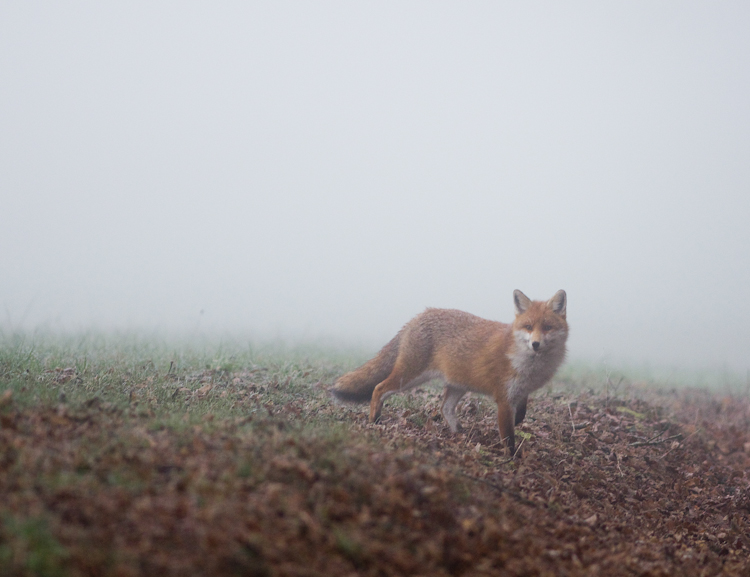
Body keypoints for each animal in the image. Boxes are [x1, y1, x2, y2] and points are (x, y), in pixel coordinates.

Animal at [331, 290, 568, 454]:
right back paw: (375, 420)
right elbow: (508, 437)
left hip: (457, 385)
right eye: (528, 327)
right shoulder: (503, 397)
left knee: (445, 408)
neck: (528, 363)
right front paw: (513, 460)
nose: (535, 344)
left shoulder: (520, 391)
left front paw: (518, 423)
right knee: (379, 388)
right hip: (410, 376)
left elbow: (521, 415)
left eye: (547, 327)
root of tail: (421, 314)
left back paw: (459, 433)